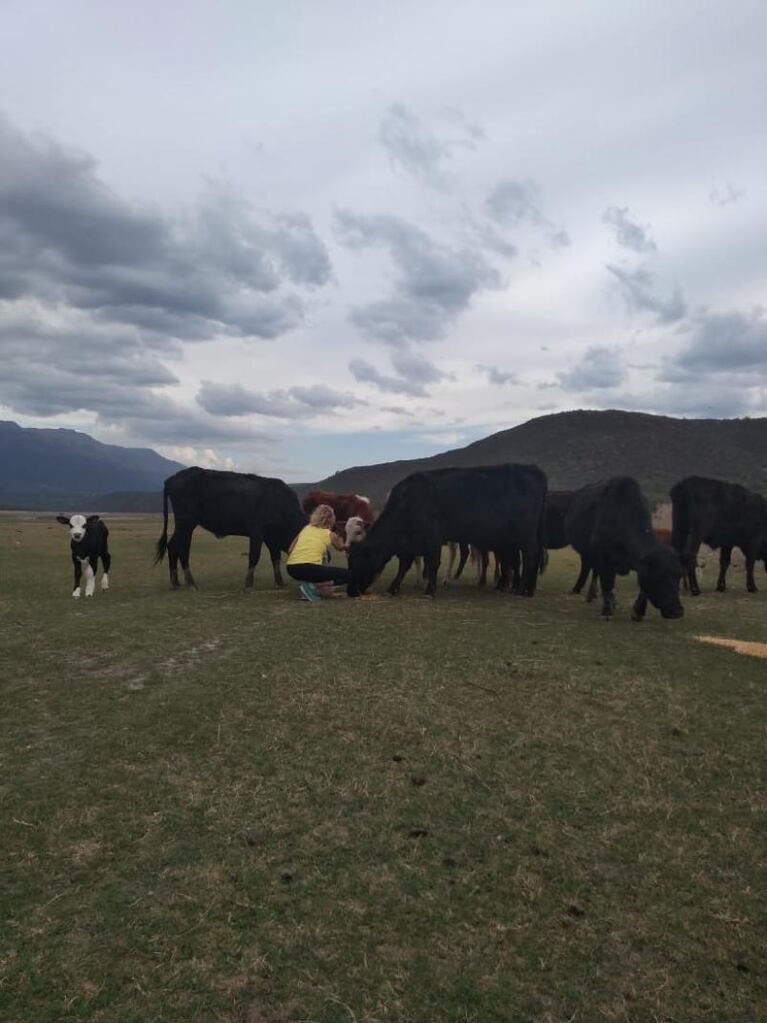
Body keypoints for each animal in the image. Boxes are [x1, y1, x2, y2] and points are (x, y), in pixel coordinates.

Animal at [154, 466, 308, 589]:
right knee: (182, 549)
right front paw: (249, 584)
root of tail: (170, 480)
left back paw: (176, 583)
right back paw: (190, 583)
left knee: (173, 547)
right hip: (186, 524)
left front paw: (280, 582)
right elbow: (254, 556)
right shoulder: (257, 532)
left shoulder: (271, 538)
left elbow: (275, 558)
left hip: (183, 526)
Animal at [347, 466, 548, 597]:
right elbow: (404, 565)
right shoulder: (410, 545)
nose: (351, 591)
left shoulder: (432, 538)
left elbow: (432, 562)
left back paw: (522, 590)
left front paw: (430, 590)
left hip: (524, 535)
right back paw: (523, 588)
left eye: (357, 562)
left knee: (530, 555)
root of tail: (532, 469)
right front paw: (394, 587)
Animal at [564, 474, 683, 617]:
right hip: (586, 553)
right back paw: (585, 592)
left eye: (679, 575)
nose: (677, 611)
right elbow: (607, 584)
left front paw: (637, 611)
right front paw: (606, 611)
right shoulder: (605, 559)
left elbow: (642, 587)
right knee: (589, 569)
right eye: (661, 575)